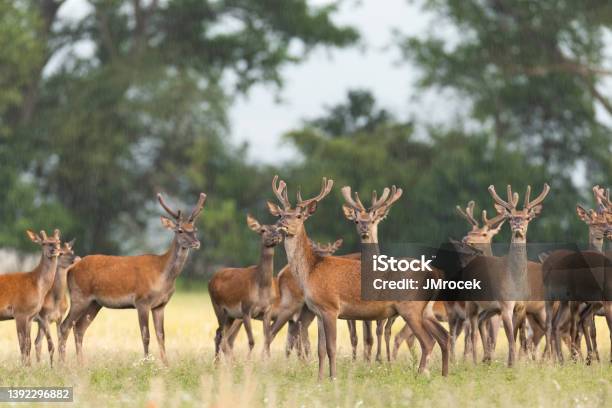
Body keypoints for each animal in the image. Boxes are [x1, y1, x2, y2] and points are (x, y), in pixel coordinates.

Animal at [0, 230, 61, 366]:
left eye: (58, 241)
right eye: (44, 243)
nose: (55, 250)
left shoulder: (30, 316)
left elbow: (28, 344)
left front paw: (28, 366)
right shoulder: (20, 312)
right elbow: (22, 344)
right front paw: (24, 367)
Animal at [58, 193, 206, 364]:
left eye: (195, 229)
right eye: (180, 230)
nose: (196, 242)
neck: (162, 275)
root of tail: (71, 269)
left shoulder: (160, 305)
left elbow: (161, 336)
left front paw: (166, 365)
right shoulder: (142, 301)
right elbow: (146, 336)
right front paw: (147, 364)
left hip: (95, 303)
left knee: (79, 328)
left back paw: (81, 364)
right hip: (79, 296)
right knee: (65, 326)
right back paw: (61, 364)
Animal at [209, 214, 284, 356]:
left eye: (277, 228)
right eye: (263, 230)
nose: (277, 236)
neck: (262, 287)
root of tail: (211, 280)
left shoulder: (267, 310)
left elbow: (267, 341)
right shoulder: (246, 309)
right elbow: (251, 341)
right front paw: (247, 361)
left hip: (231, 316)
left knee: (222, 337)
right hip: (218, 308)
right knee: (220, 336)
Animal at [342, 183, 404, 362]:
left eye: (372, 220)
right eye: (356, 220)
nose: (364, 228)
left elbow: (378, 331)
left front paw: (378, 358)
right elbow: (367, 336)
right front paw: (368, 360)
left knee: (384, 331)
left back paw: (386, 358)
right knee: (357, 334)